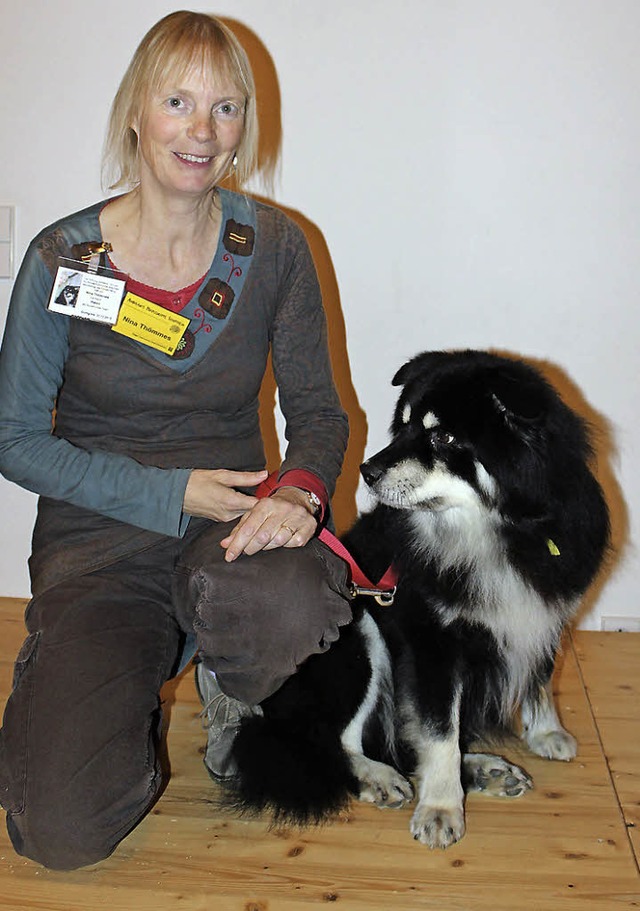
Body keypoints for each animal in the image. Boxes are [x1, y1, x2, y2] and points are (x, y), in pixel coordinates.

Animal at [226, 350, 608, 848]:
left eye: (442, 436)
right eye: (405, 427)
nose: (367, 471)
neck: (498, 533)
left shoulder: (542, 614)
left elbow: (538, 677)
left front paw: (546, 732)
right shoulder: (433, 643)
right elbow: (439, 731)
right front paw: (441, 809)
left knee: (400, 745)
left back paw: (485, 770)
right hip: (359, 635)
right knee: (334, 742)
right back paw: (378, 776)